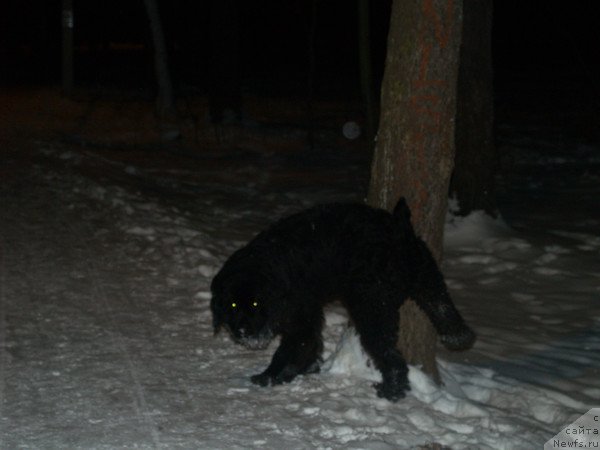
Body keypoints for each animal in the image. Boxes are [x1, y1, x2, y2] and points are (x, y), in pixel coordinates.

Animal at [210, 198, 475, 401]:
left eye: (256, 304)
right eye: (232, 305)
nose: (243, 331)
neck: (272, 266)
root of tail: (400, 230)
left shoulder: (300, 317)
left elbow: (289, 349)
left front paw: (271, 377)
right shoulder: (308, 314)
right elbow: (309, 346)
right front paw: (300, 371)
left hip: (372, 308)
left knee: (393, 359)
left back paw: (392, 391)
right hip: (429, 281)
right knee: (444, 310)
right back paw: (458, 336)